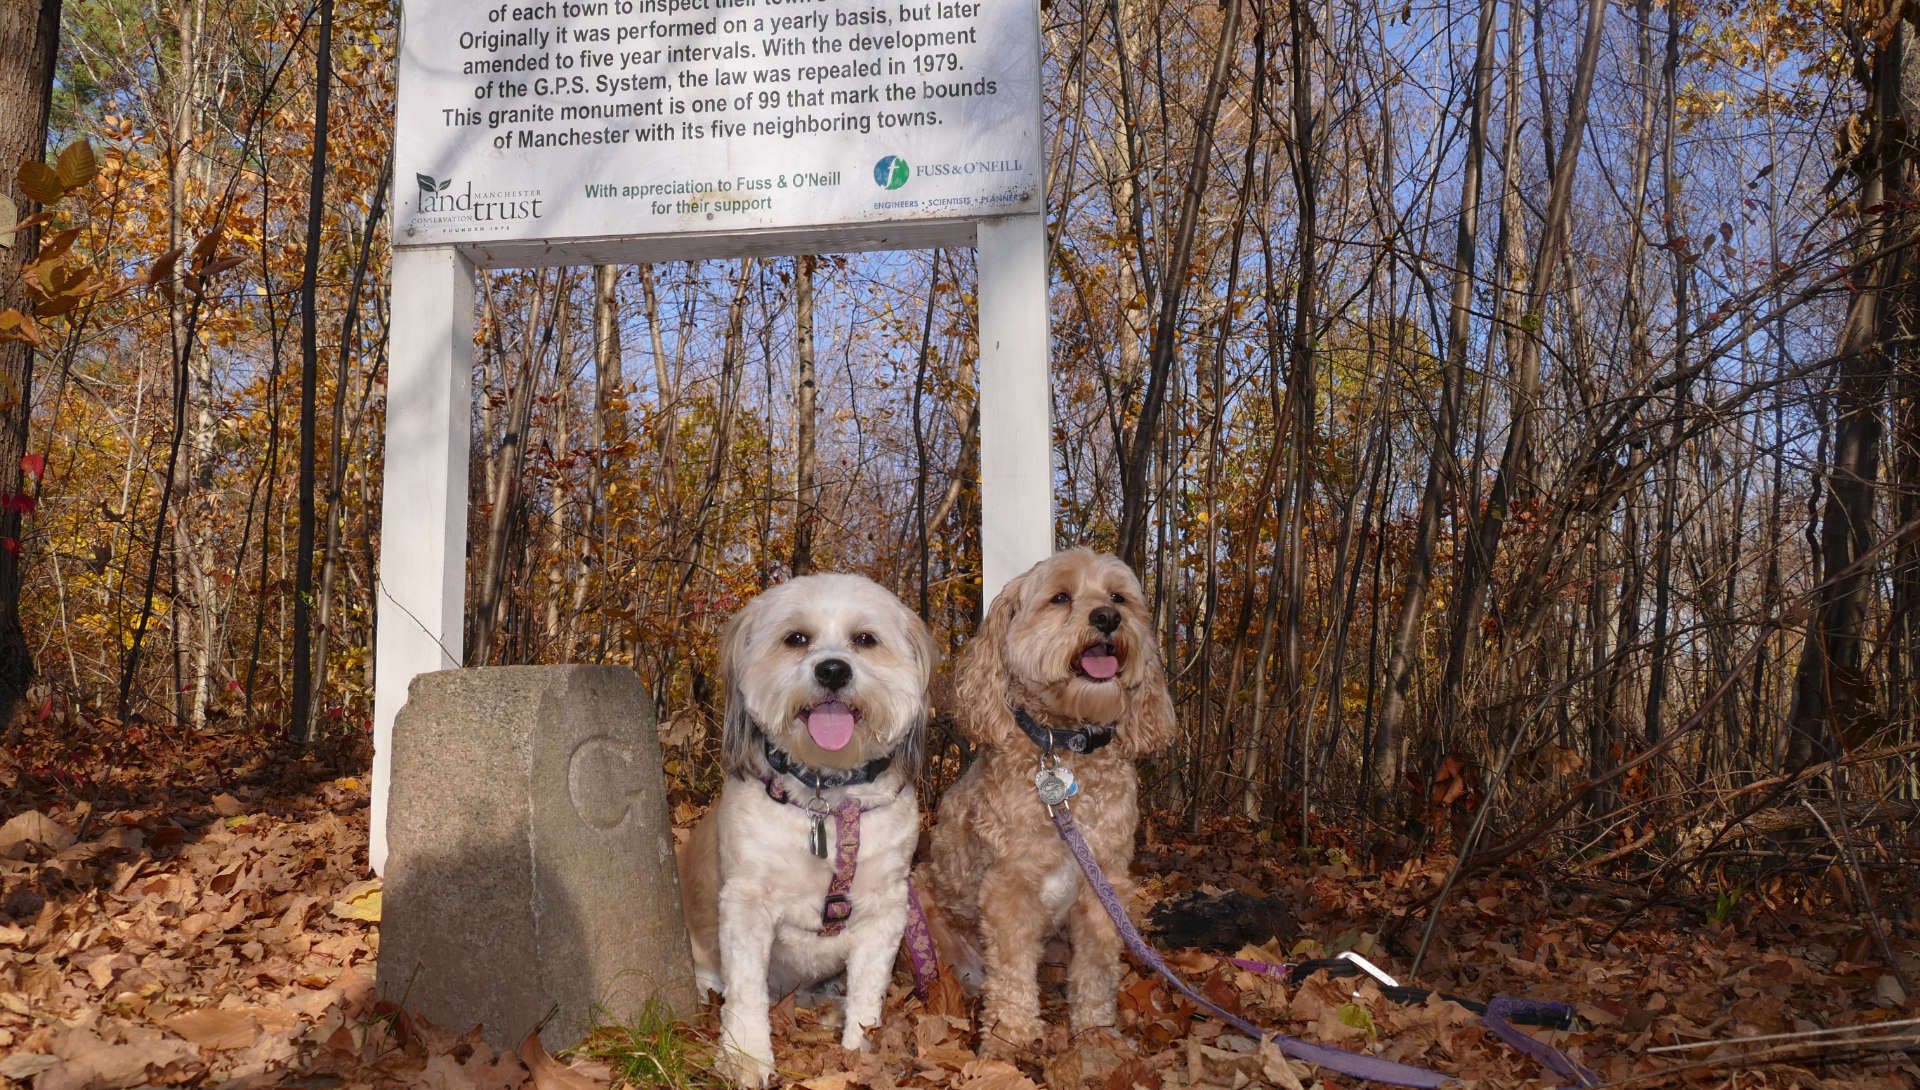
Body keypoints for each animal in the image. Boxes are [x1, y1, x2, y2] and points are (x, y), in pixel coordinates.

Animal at [675, 575, 936, 1082]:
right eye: (796, 638)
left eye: (865, 639)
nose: (833, 670)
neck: (828, 803)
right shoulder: (745, 904)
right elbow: (746, 993)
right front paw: (745, 1056)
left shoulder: (886, 911)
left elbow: (868, 997)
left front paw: (859, 1053)